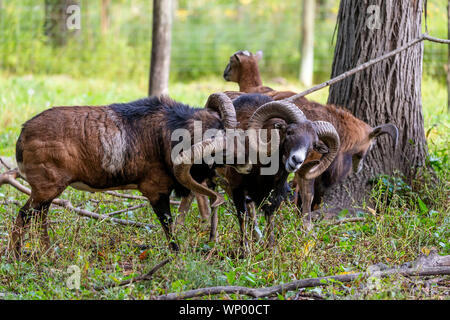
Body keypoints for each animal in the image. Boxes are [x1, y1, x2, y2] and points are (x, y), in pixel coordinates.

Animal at [12, 94, 244, 256]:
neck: (165, 134)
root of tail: (23, 134)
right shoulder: (156, 191)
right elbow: (168, 225)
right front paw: (177, 255)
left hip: (47, 193)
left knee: (40, 217)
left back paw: (48, 254)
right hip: (46, 189)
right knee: (25, 215)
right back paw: (16, 256)